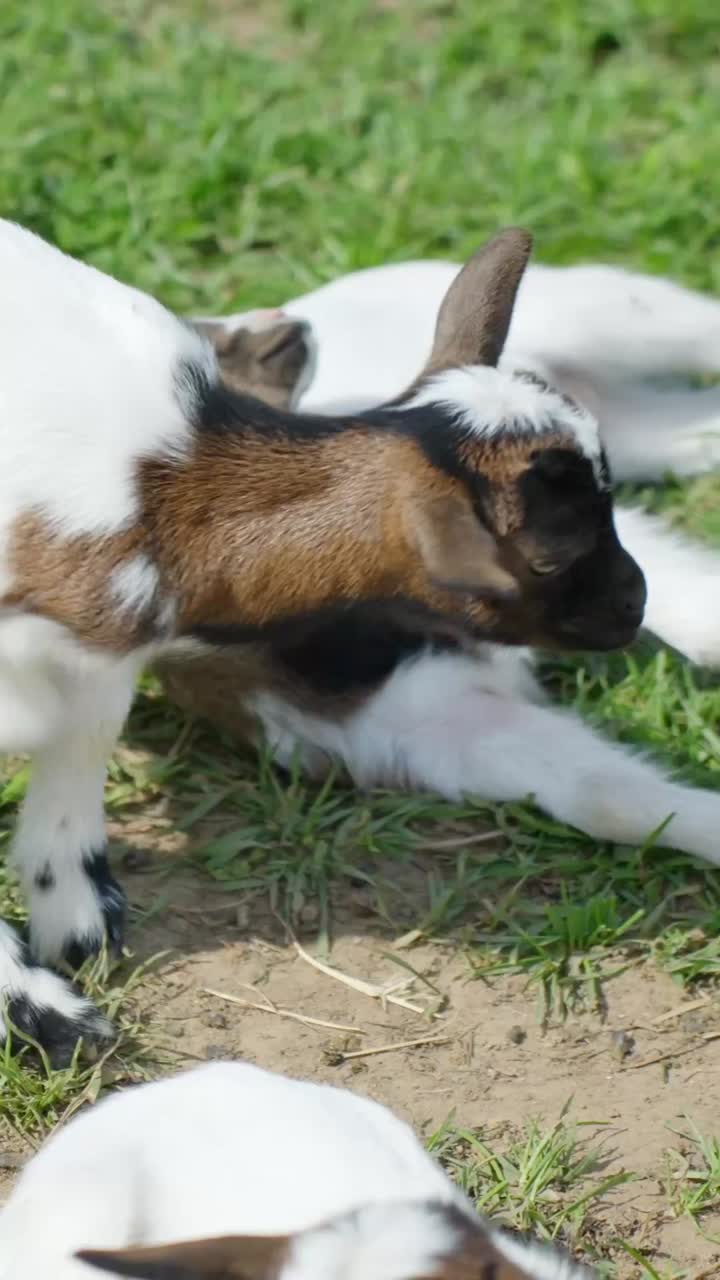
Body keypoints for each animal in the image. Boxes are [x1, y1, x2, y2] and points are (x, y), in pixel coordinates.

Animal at [0, 219, 647, 1063]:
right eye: (550, 553)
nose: (636, 603)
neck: (160, 492)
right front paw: (47, 1013)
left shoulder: (102, 657)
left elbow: (81, 752)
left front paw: (76, 925)